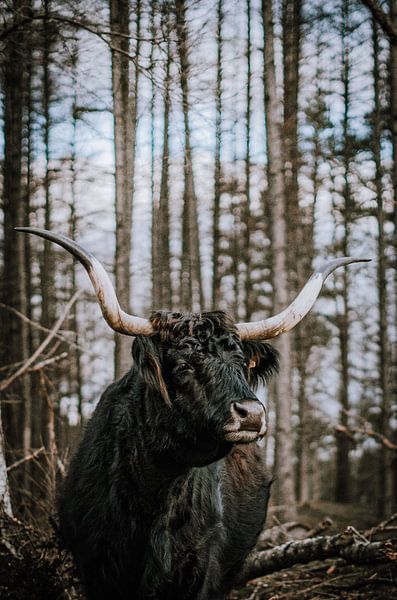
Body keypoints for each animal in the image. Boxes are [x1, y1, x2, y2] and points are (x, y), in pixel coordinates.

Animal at [16, 226, 368, 600]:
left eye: (242, 364)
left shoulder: (200, 567)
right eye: (184, 365)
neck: (152, 494)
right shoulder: (95, 566)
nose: (251, 414)